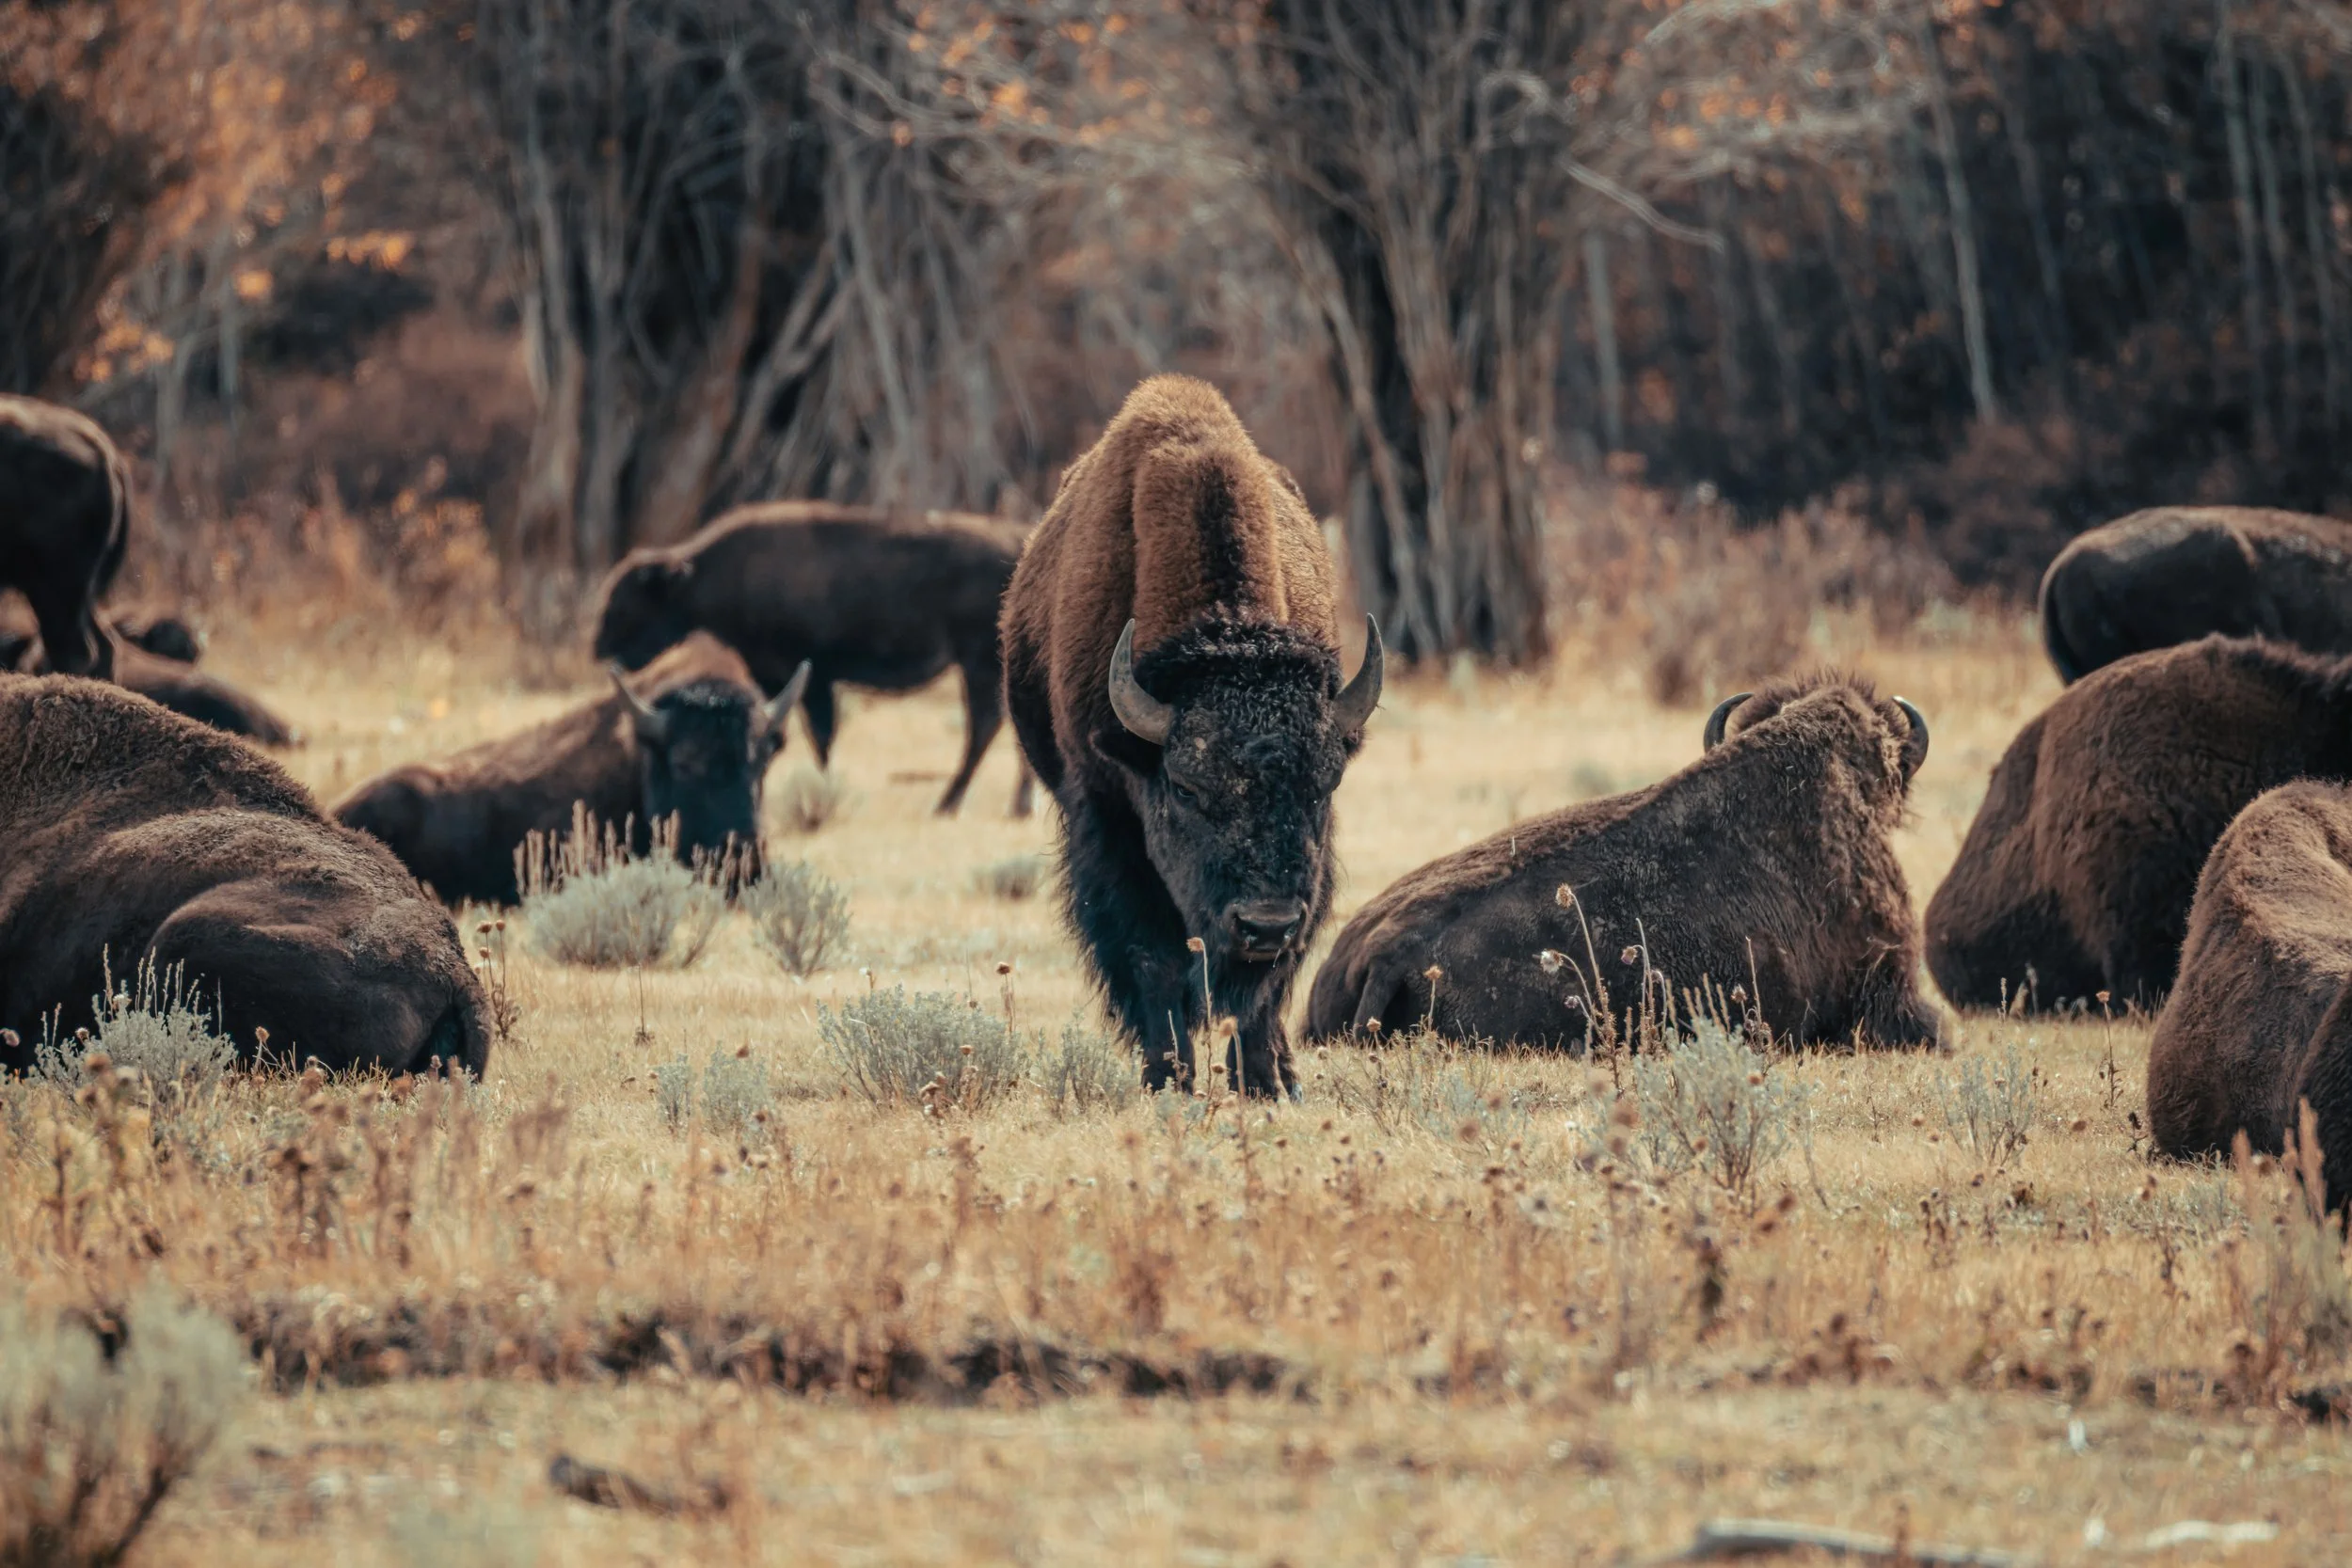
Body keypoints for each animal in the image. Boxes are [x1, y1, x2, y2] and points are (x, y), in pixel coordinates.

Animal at [594, 502, 1032, 816]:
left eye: (625, 606)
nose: (599, 648)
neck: (700, 580)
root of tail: (1019, 543)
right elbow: (820, 733)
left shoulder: (806, 674)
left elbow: (820, 735)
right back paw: (1013, 804)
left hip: (978, 663)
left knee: (984, 726)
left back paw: (952, 803)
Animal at [1001, 375, 1381, 1097]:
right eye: (1183, 787)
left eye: (1324, 785)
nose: (1265, 921)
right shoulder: (1108, 820)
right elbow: (1150, 958)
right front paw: (1167, 1077)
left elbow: (1267, 986)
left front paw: (1265, 1081)